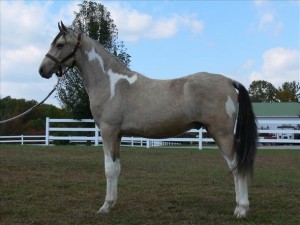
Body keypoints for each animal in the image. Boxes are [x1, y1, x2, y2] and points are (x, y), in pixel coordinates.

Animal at [38, 22, 256, 217]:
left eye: (59, 45)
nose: (42, 70)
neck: (111, 83)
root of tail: (229, 81)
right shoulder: (118, 135)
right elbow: (117, 168)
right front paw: (112, 204)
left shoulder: (108, 131)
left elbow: (109, 169)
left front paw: (105, 207)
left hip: (222, 133)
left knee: (236, 166)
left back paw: (241, 209)